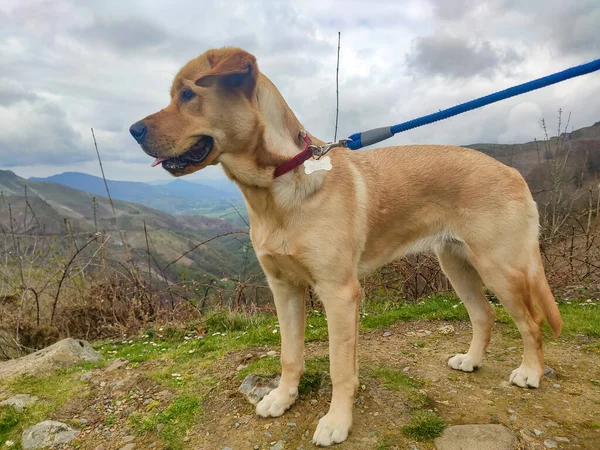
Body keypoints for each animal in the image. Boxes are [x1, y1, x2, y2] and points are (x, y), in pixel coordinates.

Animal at [131, 46, 564, 446]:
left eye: (188, 94)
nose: (133, 130)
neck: (276, 186)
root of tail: (513, 172)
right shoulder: (284, 288)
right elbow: (290, 354)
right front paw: (283, 398)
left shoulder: (339, 294)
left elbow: (340, 368)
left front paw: (337, 421)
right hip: (456, 265)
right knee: (484, 315)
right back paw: (472, 361)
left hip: (500, 268)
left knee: (531, 322)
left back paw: (530, 373)